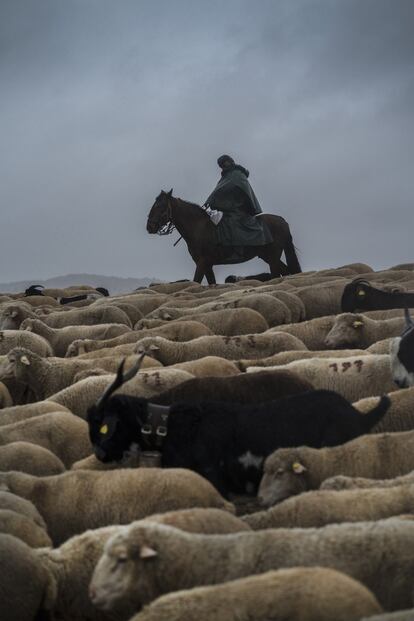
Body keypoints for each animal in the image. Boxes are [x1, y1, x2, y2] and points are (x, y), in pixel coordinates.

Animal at [146, 190, 300, 284]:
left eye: (160, 205)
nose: (149, 226)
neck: (199, 227)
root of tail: (282, 221)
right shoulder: (207, 265)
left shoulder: (202, 263)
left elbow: (196, 281)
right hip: (267, 256)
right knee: (288, 272)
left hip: (273, 257)